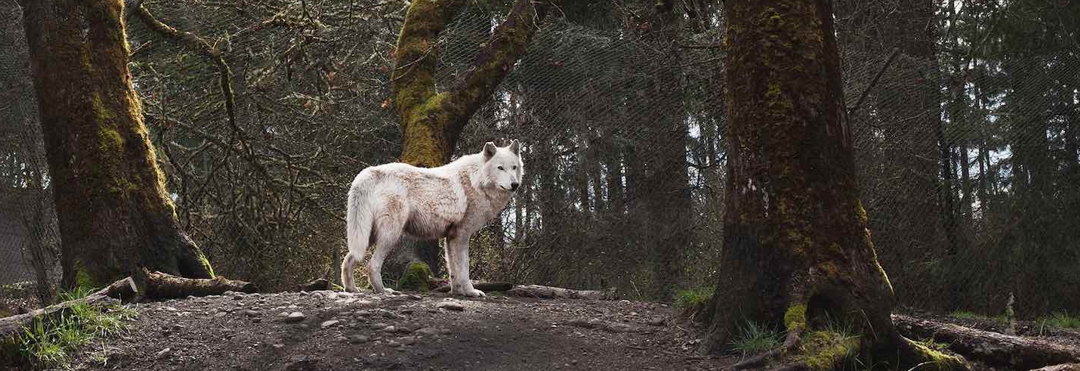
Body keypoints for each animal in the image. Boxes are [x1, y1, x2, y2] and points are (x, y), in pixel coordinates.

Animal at [336, 140, 522, 297]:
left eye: (514, 167)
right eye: (500, 168)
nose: (515, 185)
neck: (476, 180)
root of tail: (370, 172)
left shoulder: (450, 237)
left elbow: (453, 271)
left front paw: (457, 292)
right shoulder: (462, 235)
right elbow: (464, 269)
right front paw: (471, 292)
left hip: (367, 237)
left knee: (348, 259)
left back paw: (351, 289)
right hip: (389, 236)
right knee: (372, 265)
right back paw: (383, 291)